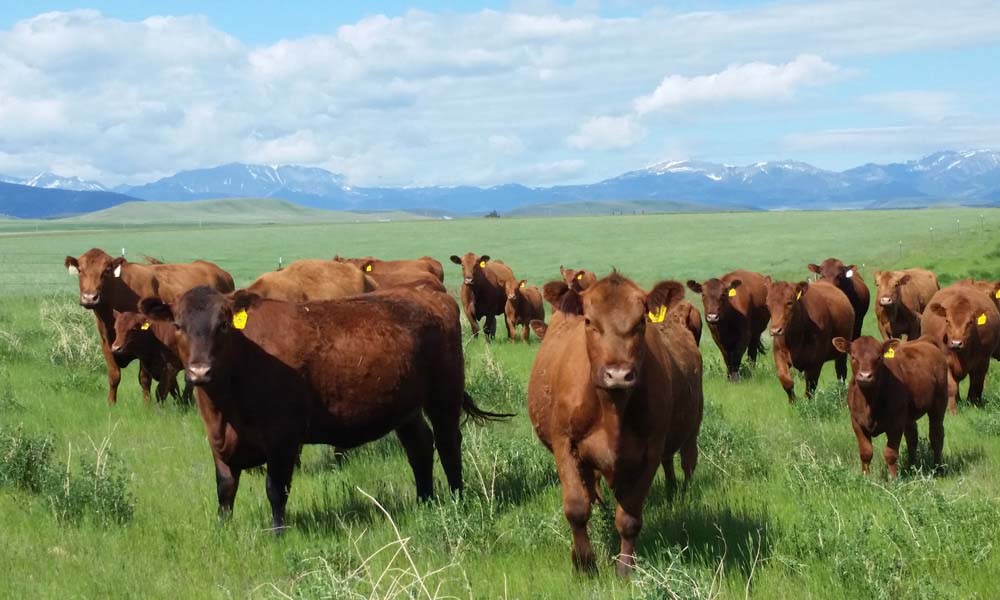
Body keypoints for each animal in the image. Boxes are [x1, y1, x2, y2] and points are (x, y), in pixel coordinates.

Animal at [64, 248, 235, 405]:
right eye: (80, 270)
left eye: (106, 271)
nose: (90, 297)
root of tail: (222, 273)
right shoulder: (106, 344)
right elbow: (114, 376)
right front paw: (111, 403)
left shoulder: (145, 349)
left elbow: (144, 379)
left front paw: (147, 404)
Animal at [138, 285, 511, 531]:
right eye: (178, 325)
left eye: (224, 325)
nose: (200, 371)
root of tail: (428, 293)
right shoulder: (217, 442)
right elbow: (225, 489)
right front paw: (224, 530)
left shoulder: (284, 439)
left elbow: (276, 489)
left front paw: (278, 534)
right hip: (405, 409)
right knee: (420, 446)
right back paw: (425, 501)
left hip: (443, 395)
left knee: (448, 444)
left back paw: (457, 498)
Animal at [527, 273, 703, 575]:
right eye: (588, 321)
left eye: (641, 321)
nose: (618, 374)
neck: (612, 410)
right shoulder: (565, 444)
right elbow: (577, 507)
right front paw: (585, 563)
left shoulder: (650, 453)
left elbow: (629, 517)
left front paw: (625, 569)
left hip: (692, 428)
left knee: (687, 460)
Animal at [832, 335, 947, 477]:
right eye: (853, 356)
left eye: (879, 357)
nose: (865, 376)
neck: (869, 402)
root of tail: (925, 340)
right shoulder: (856, 423)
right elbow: (865, 452)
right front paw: (865, 477)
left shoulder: (895, 424)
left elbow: (890, 454)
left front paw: (893, 479)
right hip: (909, 415)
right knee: (912, 437)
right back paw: (911, 467)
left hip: (939, 403)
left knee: (936, 434)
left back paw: (938, 468)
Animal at [920, 282, 1000, 411]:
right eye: (947, 321)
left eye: (970, 322)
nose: (956, 343)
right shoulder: (945, 362)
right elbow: (951, 386)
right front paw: (952, 410)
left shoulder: (982, 362)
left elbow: (976, 386)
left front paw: (974, 406)